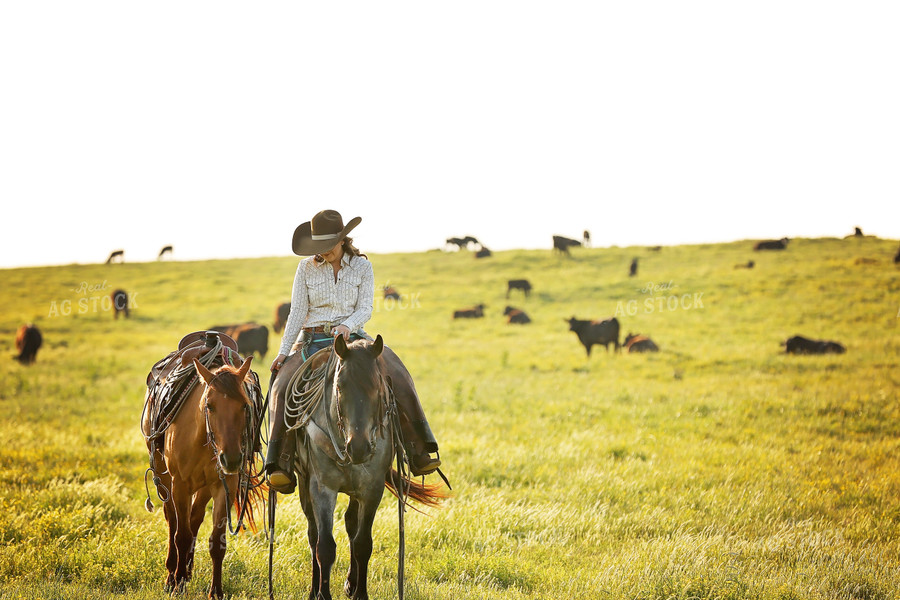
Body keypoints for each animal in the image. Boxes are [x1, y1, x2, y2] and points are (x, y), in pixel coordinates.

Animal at [143, 354, 264, 596]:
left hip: (205, 486)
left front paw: (215, 591)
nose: (232, 459)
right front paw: (177, 584)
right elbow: (181, 535)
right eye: (210, 406)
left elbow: (217, 542)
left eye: (244, 405)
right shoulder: (179, 485)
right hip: (163, 477)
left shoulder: (224, 486)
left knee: (195, 518)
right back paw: (172, 573)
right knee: (173, 520)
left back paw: (187, 570)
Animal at [274, 332, 442, 600]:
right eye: (339, 387)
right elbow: (325, 546)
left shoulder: (371, 489)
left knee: (351, 525)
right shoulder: (323, 488)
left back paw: (351, 584)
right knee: (313, 533)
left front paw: (360, 592)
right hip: (304, 482)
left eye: (378, 387)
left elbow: (363, 543)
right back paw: (313, 590)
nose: (359, 447)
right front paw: (323, 594)